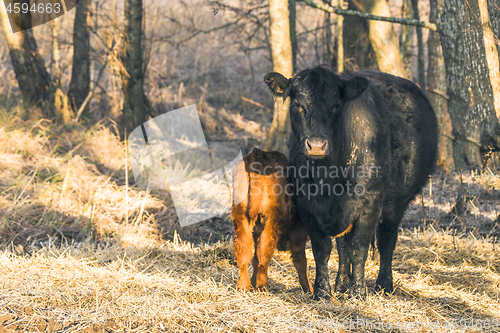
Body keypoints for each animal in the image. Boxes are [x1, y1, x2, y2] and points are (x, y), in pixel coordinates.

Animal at [231, 147, 310, 290]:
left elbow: (254, 258)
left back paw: (244, 285)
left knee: (243, 250)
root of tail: (258, 154)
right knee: (264, 252)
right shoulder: (299, 232)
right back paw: (262, 286)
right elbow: (301, 261)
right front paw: (309, 289)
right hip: (271, 221)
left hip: (241, 218)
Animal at [264, 65, 436, 298]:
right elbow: (323, 250)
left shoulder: (371, 202)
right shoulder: (306, 204)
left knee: (386, 241)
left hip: (397, 202)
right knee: (343, 245)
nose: (316, 145)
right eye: (297, 104)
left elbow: (359, 248)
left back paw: (384, 286)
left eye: (336, 105)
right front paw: (322, 291)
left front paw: (359, 292)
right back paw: (342, 284)